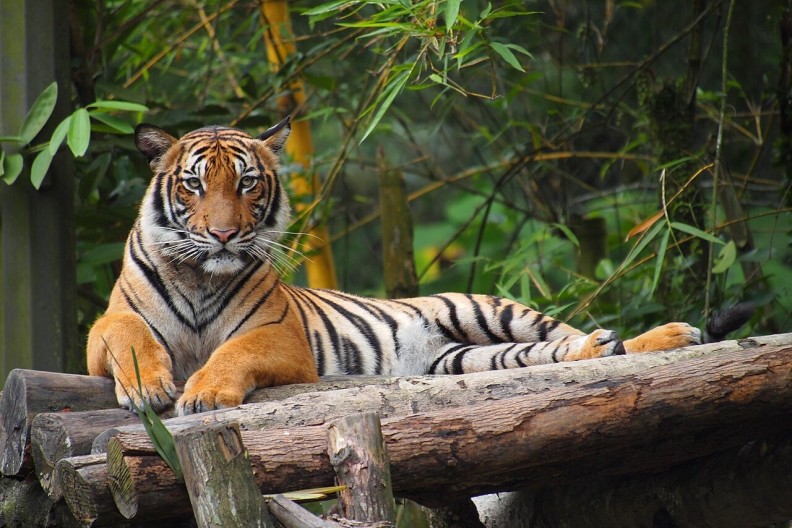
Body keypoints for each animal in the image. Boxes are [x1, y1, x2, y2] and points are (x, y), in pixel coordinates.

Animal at [88, 116, 712, 416]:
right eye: (194, 184)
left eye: (246, 183)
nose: (222, 234)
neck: (200, 275)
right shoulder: (102, 332)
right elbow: (126, 333)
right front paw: (147, 389)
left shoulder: (278, 335)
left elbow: (233, 353)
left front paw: (205, 394)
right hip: (466, 359)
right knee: (558, 352)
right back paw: (609, 345)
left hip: (491, 309)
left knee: (575, 334)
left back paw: (674, 334)